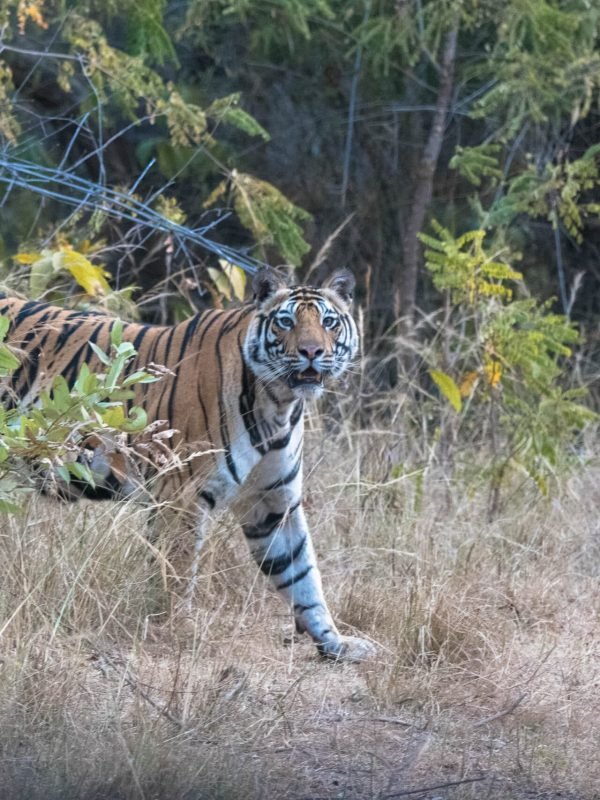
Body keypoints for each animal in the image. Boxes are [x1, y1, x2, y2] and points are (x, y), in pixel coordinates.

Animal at [0, 267, 375, 661]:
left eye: (329, 322)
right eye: (285, 322)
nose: (312, 352)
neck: (278, 404)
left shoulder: (272, 502)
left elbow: (302, 574)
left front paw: (335, 642)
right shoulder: (180, 496)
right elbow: (177, 571)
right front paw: (176, 631)